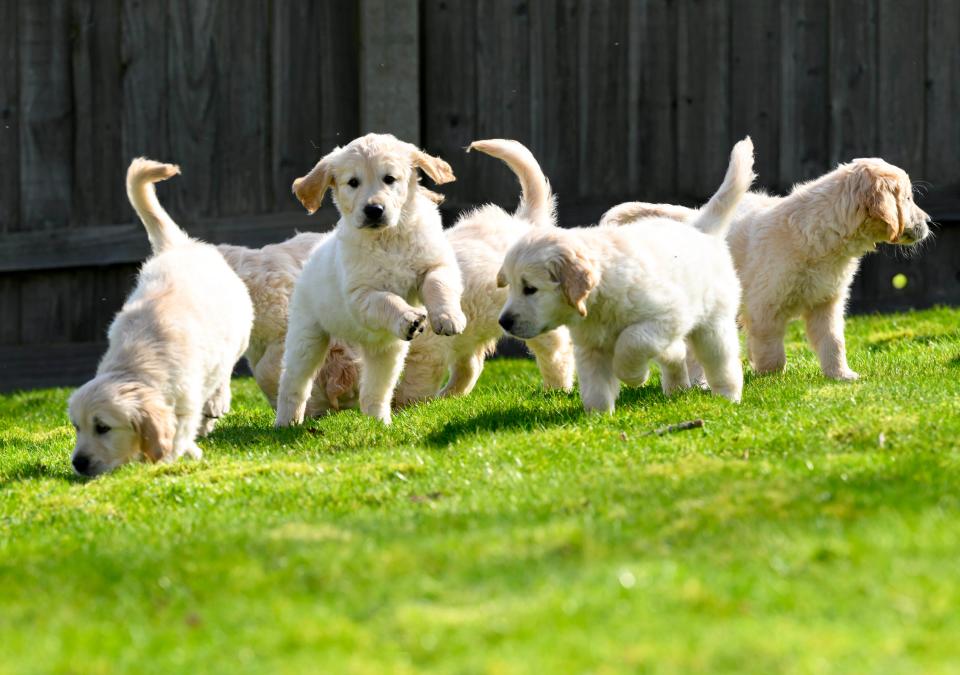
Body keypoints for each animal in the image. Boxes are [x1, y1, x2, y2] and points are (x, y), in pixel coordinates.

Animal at [69, 159, 253, 478]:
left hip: (240, 328)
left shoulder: (187, 399)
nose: (78, 463)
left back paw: (218, 400)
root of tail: (177, 246)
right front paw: (190, 451)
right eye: (77, 427)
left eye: (103, 427)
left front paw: (168, 458)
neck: (135, 366)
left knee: (225, 369)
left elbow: (177, 434)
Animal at [276, 134, 466, 426]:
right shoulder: (361, 294)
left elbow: (438, 285)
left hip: (386, 350)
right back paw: (286, 422)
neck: (388, 238)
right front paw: (408, 316)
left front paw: (447, 317)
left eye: (389, 179)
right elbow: (387, 299)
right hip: (306, 336)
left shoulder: (435, 264)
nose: (374, 209)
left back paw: (380, 423)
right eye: (353, 182)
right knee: (294, 382)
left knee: (375, 390)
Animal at [394, 139, 572, 406]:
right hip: (471, 329)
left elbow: (414, 383)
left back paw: (557, 388)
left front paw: (401, 407)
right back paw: (449, 396)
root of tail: (525, 222)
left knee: (556, 352)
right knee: (471, 366)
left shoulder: (427, 350)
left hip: (535, 317)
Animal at [496, 139, 756, 412]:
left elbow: (630, 343)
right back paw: (676, 388)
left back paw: (728, 398)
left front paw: (635, 376)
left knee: (722, 363)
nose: (504, 322)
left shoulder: (665, 317)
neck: (599, 297)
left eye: (530, 289)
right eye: (511, 287)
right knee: (676, 354)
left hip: (713, 325)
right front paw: (598, 417)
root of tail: (699, 228)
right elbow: (595, 386)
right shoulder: (590, 347)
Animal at [600, 156, 928, 382]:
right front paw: (771, 379)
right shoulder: (765, 307)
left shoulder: (826, 303)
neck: (821, 235)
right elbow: (771, 350)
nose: (928, 223)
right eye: (907, 198)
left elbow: (833, 341)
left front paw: (841, 375)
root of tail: (691, 219)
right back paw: (699, 382)